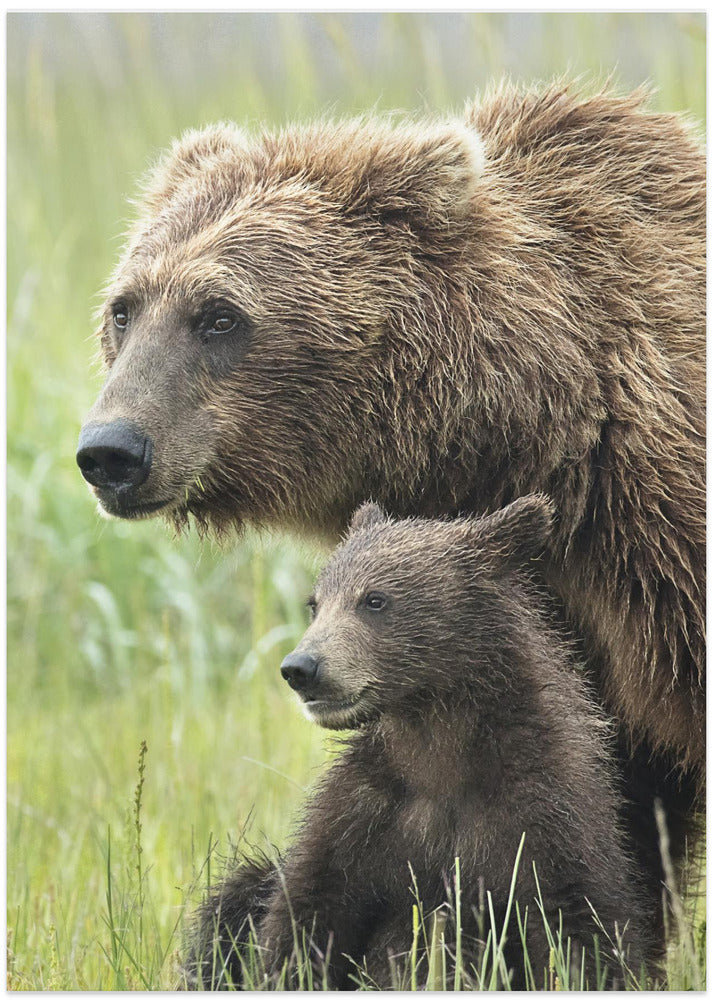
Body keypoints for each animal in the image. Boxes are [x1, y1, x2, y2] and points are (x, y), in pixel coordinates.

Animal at [184, 497, 649, 991]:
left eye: (374, 599)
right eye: (315, 603)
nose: (301, 667)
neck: (438, 748)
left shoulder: (542, 815)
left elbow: (579, 931)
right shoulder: (362, 816)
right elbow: (300, 923)